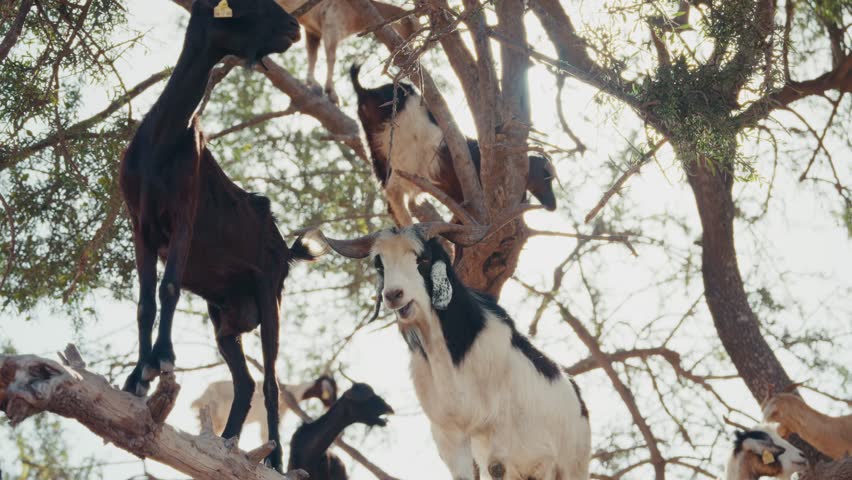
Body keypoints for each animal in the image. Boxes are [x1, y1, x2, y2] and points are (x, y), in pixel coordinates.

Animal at [118, 0, 304, 470]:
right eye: (247, 5)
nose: (294, 26)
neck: (164, 139)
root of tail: (286, 249)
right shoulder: (140, 226)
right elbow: (145, 303)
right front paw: (138, 376)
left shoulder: (184, 216)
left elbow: (168, 289)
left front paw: (162, 359)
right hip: (224, 317)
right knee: (245, 381)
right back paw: (226, 444)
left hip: (269, 293)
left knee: (271, 381)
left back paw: (273, 458)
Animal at [193, 374, 340, 440]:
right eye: (331, 390)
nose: (332, 403)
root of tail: (202, 396)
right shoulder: (264, 418)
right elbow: (265, 437)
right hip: (215, 413)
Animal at [276, 0, 416, 104]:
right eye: (411, 31)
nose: (408, 54)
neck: (356, 14)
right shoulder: (332, 27)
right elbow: (331, 58)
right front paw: (331, 93)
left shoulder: (313, 31)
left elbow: (312, 56)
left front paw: (313, 84)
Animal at [306, 220, 592, 480]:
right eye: (380, 263)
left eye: (422, 259)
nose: (394, 295)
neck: (453, 356)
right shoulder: (449, 434)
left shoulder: (501, 436)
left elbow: (497, 468)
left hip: (565, 464)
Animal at [348, 64, 560, 227]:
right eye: (546, 176)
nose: (552, 205)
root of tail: (365, 93)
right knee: (395, 193)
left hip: (380, 155)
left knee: (392, 198)